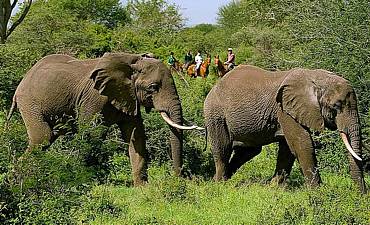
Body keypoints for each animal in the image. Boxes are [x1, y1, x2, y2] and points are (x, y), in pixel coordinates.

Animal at [6, 52, 202, 186]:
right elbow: (93, 134)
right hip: (30, 103)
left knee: (49, 138)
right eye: (153, 87)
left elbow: (136, 135)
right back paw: (18, 175)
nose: (178, 178)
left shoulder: (129, 97)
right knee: (43, 137)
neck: (132, 61)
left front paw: (143, 187)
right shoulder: (95, 98)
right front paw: (87, 181)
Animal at [205, 64, 368, 192]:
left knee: (248, 151)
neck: (315, 77)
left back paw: (222, 180)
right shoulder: (284, 110)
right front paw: (318, 192)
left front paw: (274, 188)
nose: (362, 195)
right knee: (223, 150)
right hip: (215, 115)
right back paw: (220, 184)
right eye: (336, 106)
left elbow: (288, 149)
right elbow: (302, 144)